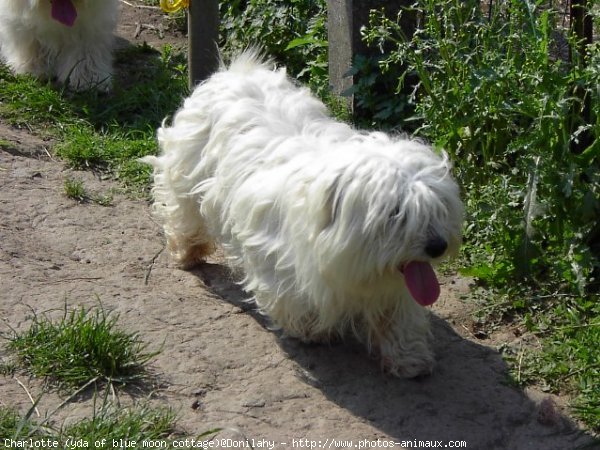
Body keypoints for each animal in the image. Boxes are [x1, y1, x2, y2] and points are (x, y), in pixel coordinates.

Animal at [142, 51, 464, 376]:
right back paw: (188, 252)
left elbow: (398, 318)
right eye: (396, 212)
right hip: (185, 175)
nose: (437, 246)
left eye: (438, 207)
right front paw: (309, 329)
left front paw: (409, 356)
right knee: (184, 214)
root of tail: (236, 72)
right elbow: (295, 301)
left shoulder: (395, 287)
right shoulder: (278, 259)